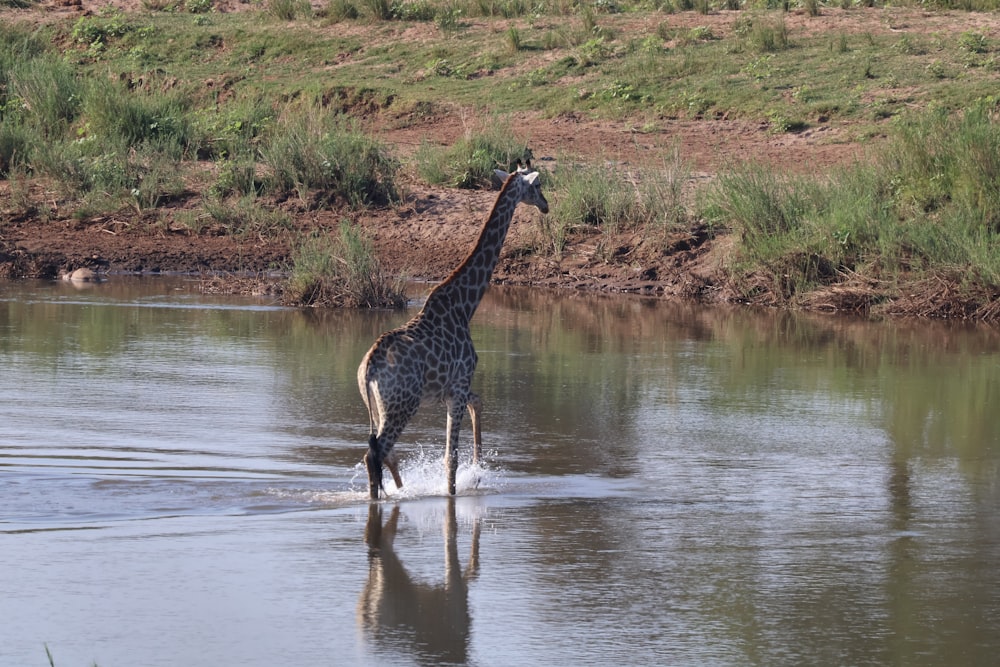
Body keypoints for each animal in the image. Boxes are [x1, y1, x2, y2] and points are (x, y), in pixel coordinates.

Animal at [358, 162, 552, 498]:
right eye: (537, 185)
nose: (546, 206)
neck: (465, 305)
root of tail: (368, 368)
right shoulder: (459, 386)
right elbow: (451, 457)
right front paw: (461, 484)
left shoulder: (452, 390)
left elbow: (479, 404)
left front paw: (477, 472)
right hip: (401, 407)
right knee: (376, 454)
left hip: (377, 408)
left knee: (381, 453)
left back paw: (395, 491)